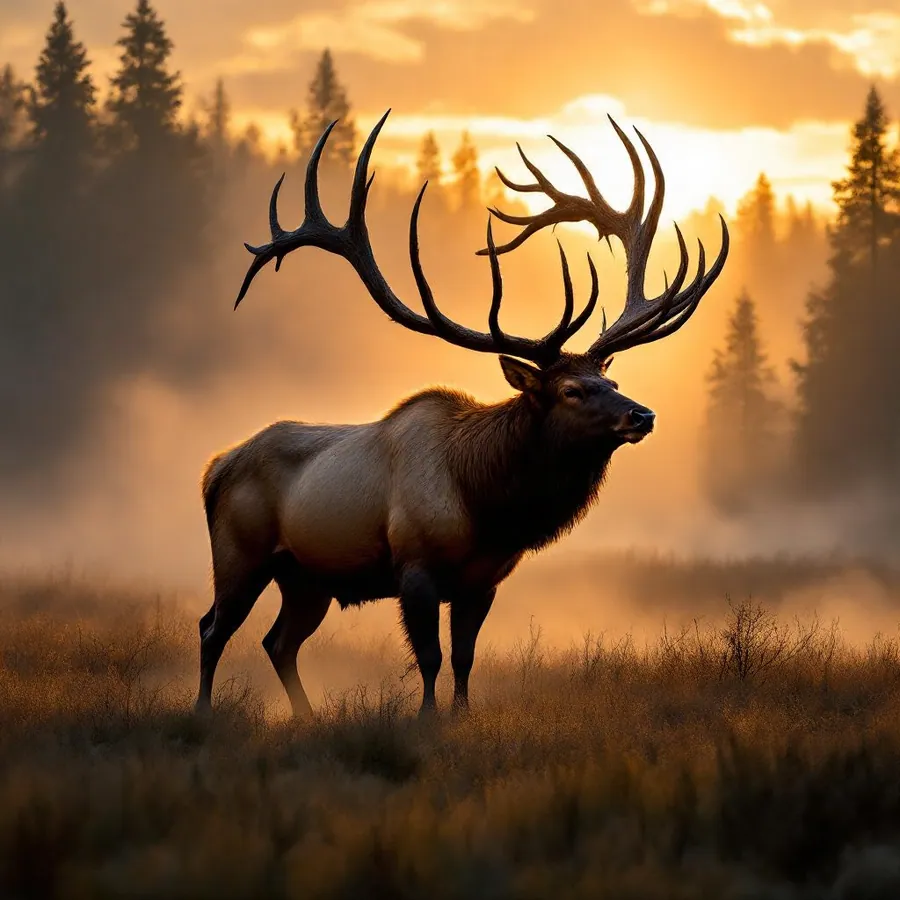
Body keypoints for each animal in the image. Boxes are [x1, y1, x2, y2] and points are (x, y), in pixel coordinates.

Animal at [196, 110, 729, 719]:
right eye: (571, 390)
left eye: (611, 381)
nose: (642, 415)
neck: (488, 504)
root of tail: (215, 468)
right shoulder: (415, 568)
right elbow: (429, 658)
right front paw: (426, 720)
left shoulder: (483, 580)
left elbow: (464, 660)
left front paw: (461, 717)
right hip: (239, 553)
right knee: (213, 628)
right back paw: (203, 710)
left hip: (307, 576)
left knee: (277, 641)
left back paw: (307, 719)